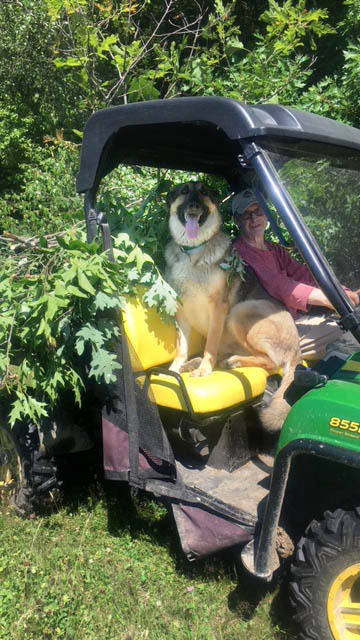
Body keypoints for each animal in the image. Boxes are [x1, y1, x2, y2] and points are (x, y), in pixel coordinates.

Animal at [165, 180, 302, 432]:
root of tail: (297, 350)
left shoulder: (218, 309)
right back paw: (199, 363)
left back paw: (232, 361)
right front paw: (174, 369)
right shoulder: (181, 310)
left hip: (240, 312)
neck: (192, 253)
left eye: (204, 192)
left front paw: (204, 369)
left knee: (271, 362)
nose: (193, 205)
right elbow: (182, 347)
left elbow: (209, 345)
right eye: (184, 191)